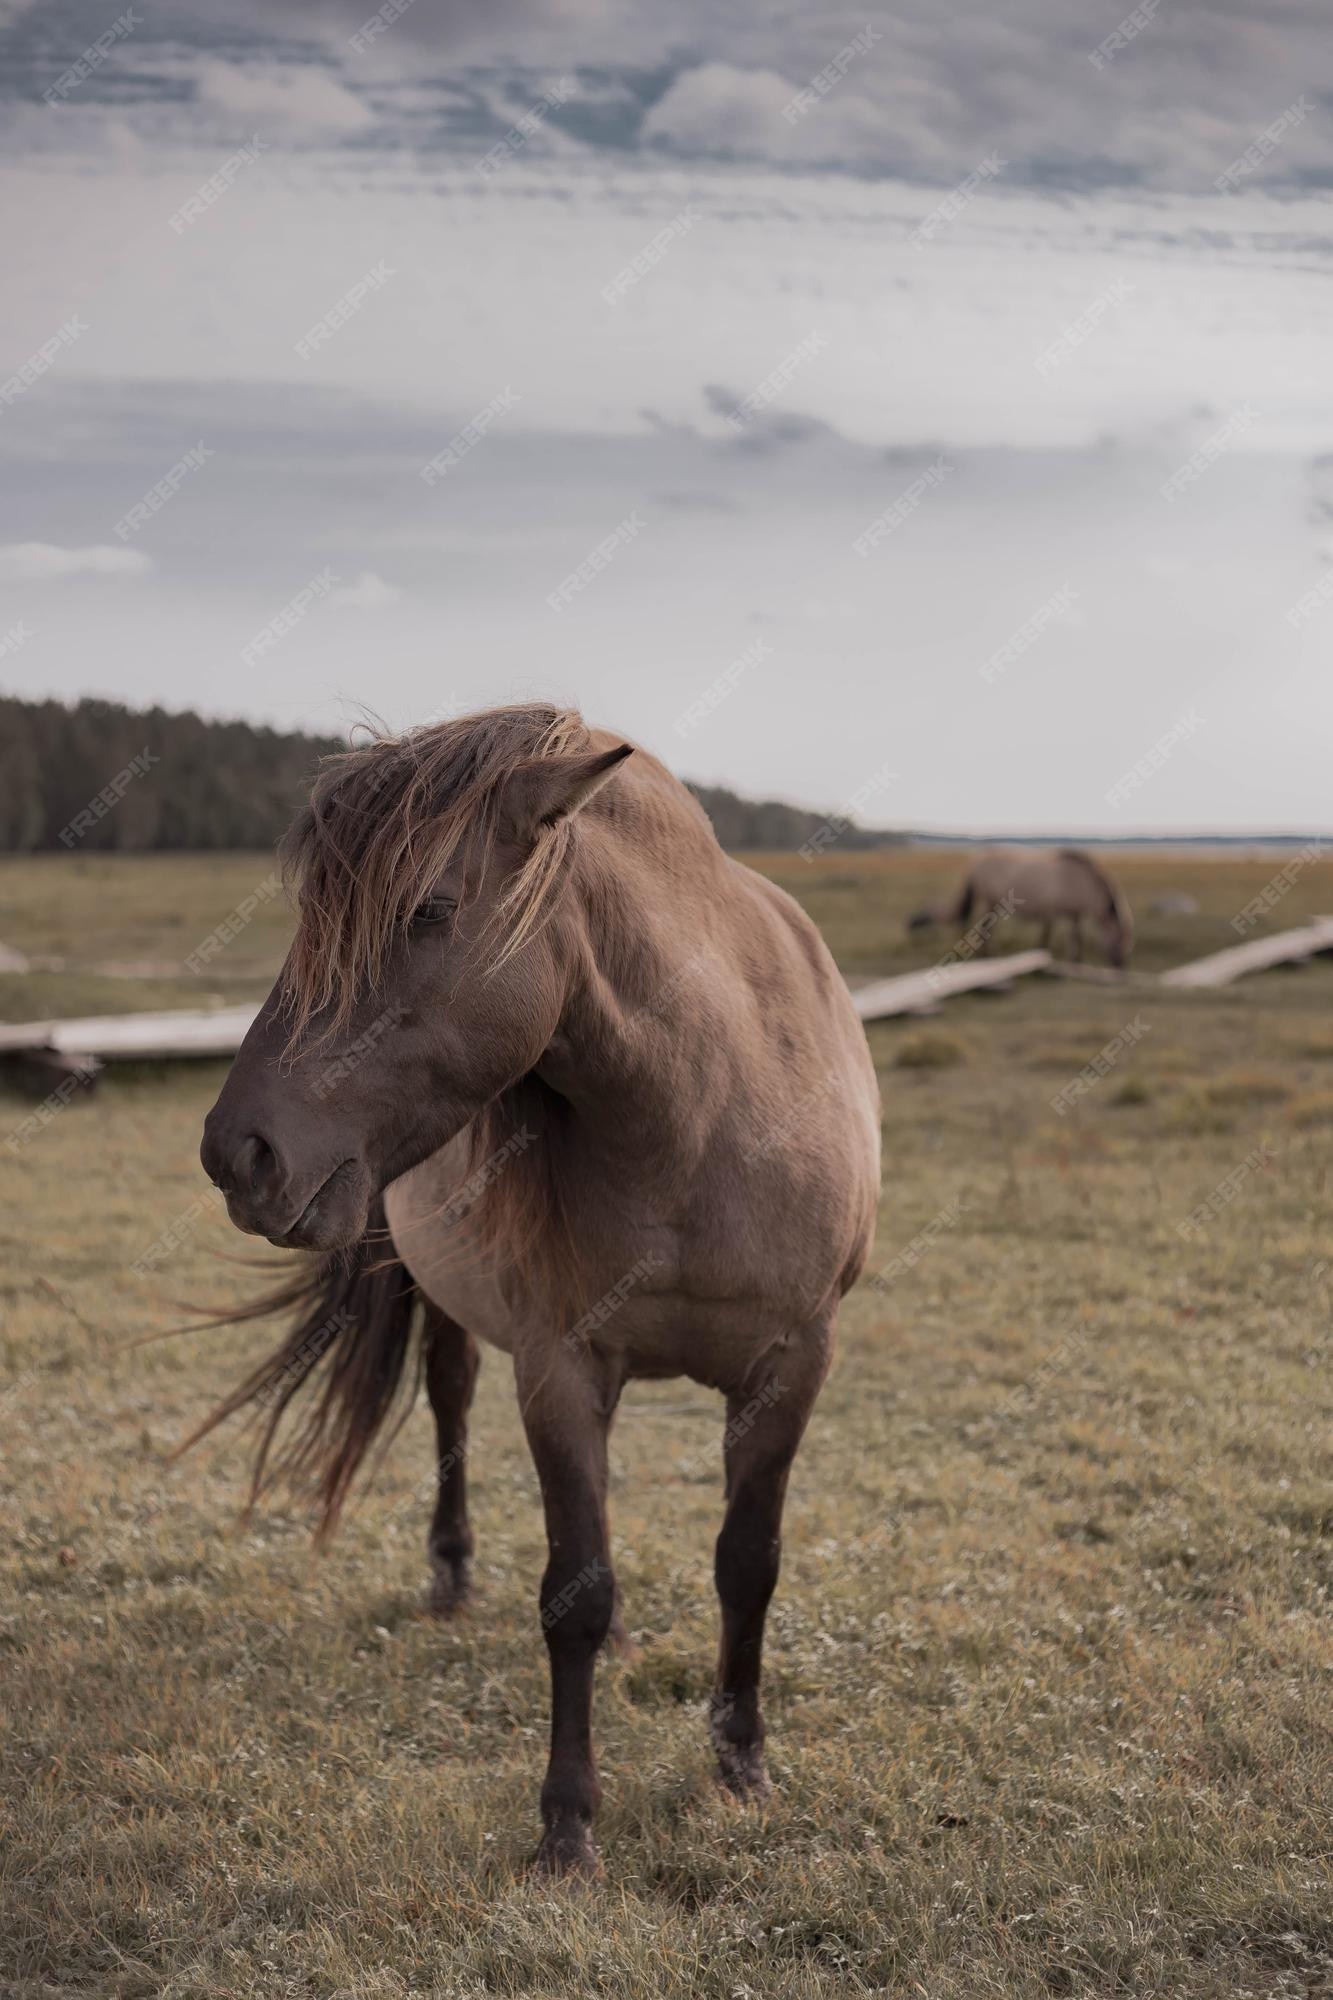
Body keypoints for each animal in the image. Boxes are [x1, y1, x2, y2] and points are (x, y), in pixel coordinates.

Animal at [187, 704, 872, 1872]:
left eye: (429, 907)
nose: (241, 1154)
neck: (706, 1110)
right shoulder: (560, 1367)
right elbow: (573, 1592)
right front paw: (567, 1824)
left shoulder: (793, 1362)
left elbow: (748, 1562)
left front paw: (740, 1762)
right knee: (451, 1396)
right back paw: (452, 1572)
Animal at [904, 844, 1128, 968]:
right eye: (1118, 939)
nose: (1121, 967)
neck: (1079, 881)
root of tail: (976, 861)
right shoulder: (1051, 912)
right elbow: (1046, 938)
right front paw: (1043, 959)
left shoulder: (1074, 914)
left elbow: (1077, 938)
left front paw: (1076, 962)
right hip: (989, 900)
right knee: (985, 928)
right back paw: (988, 956)